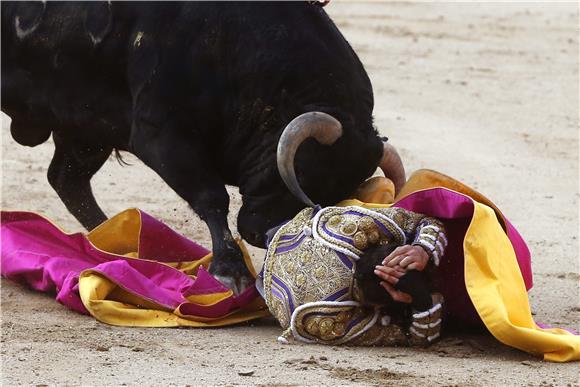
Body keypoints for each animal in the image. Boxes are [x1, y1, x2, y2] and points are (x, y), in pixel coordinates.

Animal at [2, 1, 406, 294]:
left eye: (342, 191)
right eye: (304, 171)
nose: (263, 231)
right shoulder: (162, 133)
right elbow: (212, 198)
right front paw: (230, 271)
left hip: (83, 127)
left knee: (66, 179)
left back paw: (114, 243)